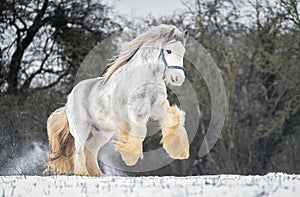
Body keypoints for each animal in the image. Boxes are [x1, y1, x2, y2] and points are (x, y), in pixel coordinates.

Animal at [45, 23, 189, 176]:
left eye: (183, 52)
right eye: (169, 51)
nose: (178, 78)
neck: (144, 77)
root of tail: (69, 98)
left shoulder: (157, 107)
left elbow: (175, 119)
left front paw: (179, 151)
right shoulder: (135, 112)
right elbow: (140, 131)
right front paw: (130, 158)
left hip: (103, 132)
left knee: (90, 149)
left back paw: (98, 174)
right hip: (81, 128)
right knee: (78, 151)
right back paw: (83, 173)